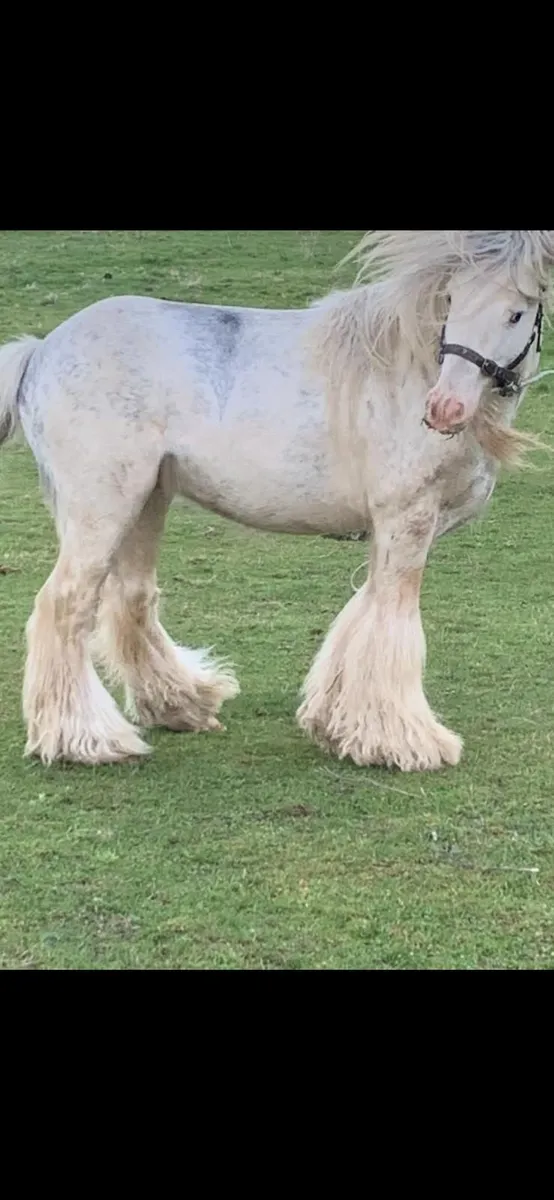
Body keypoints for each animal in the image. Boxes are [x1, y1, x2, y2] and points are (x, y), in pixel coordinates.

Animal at [0, 230, 552, 771]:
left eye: (515, 313)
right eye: (452, 301)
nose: (444, 409)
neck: (407, 368)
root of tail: (41, 350)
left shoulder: (393, 529)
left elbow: (363, 613)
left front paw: (337, 725)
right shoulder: (408, 519)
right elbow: (391, 621)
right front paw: (404, 742)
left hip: (145, 503)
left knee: (131, 599)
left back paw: (183, 705)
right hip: (101, 511)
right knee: (65, 604)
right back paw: (84, 739)